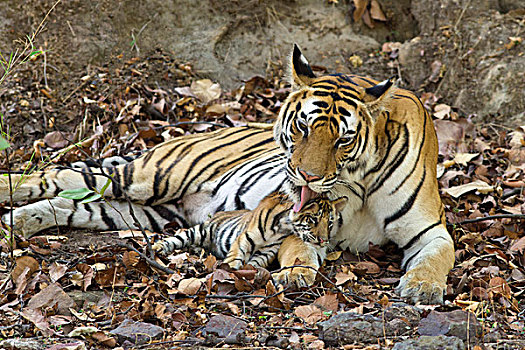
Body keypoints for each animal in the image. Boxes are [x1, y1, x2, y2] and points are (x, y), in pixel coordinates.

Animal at [0, 45, 452, 304]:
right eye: (303, 127)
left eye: (343, 139)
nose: (306, 177)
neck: (359, 178)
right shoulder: (295, 221)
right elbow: (298, 249)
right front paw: (296, 273)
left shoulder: (429, 230)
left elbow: (437, 257)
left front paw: (423, 287)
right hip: (146, 177)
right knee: (55, 176)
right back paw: (12, 204)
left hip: (142, 213)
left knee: (68, 204)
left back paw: (18, 223)